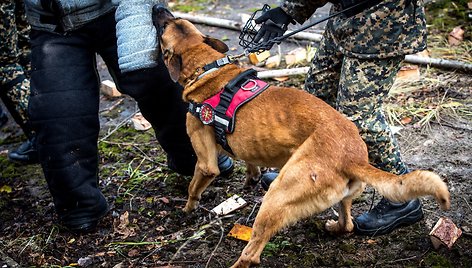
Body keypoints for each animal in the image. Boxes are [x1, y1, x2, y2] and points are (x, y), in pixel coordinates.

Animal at [153, 6, 452, 268]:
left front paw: (187, 210)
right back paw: (334, 227)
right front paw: (251, 177)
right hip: (340, 197)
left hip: (276, 198)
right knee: (347, 225)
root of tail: (353, 158)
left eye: (164, 27)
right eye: (173, 20)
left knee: (252, 253)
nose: (157, 8)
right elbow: (250, 161)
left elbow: (194, 187)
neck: (208, 68)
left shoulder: (206, 164)